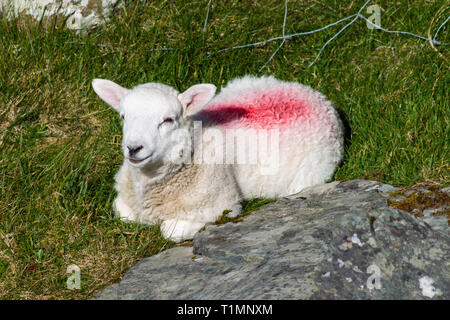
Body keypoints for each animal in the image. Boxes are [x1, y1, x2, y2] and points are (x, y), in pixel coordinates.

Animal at [92, 75, 344, 240]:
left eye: (168, 120)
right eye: (123, 116)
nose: (134, 148)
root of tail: (319, 99)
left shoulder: (223, 206)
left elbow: (169, 231)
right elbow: (121, 212)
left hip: (313, 170)